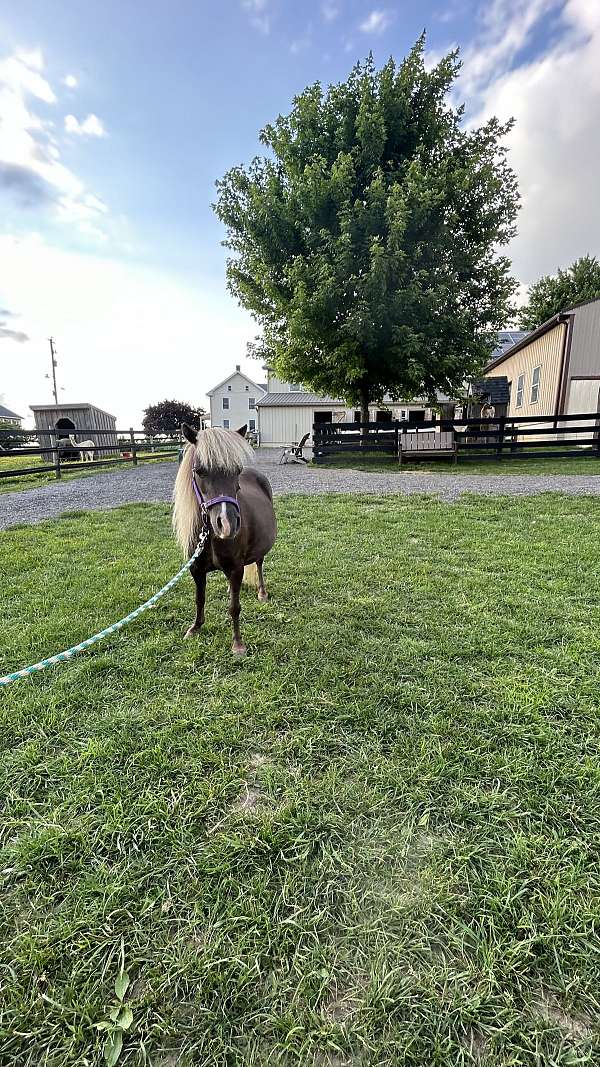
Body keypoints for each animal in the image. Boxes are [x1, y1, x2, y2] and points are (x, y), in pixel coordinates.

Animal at [172, 420, 275, 653]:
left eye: (237, 471)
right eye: (200, 471)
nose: (227, 524)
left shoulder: (235, 568)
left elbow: (234, 607)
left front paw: (238, 644)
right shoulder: (195, 569)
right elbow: (199, 599)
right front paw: (195, 628)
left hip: (259, 551)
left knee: (259, 564)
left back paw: (262, 593)